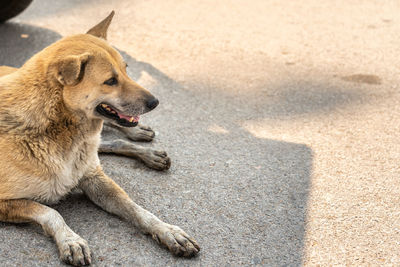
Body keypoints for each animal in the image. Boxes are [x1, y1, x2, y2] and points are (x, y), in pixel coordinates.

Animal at [0, 11, 200, 266]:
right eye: (110, 81)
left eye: (126, 70)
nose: (155, 102)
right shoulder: (6, 203)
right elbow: (50, 212)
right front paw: (70, 240)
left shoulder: (95, 179)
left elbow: (137, 209)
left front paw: (167, 230)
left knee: (111, 141)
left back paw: (144, 145)